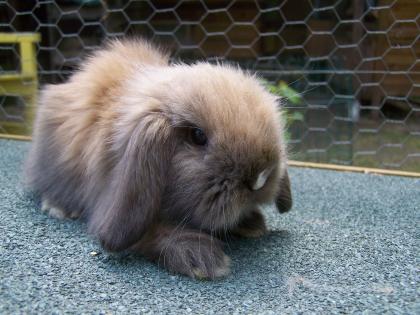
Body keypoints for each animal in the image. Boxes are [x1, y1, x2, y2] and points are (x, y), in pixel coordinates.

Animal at [23, 39, 292, 278]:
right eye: (197, 136)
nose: (260, 178)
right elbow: (149, 233)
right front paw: (201, 258)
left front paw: (252, 224)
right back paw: (59, 208)